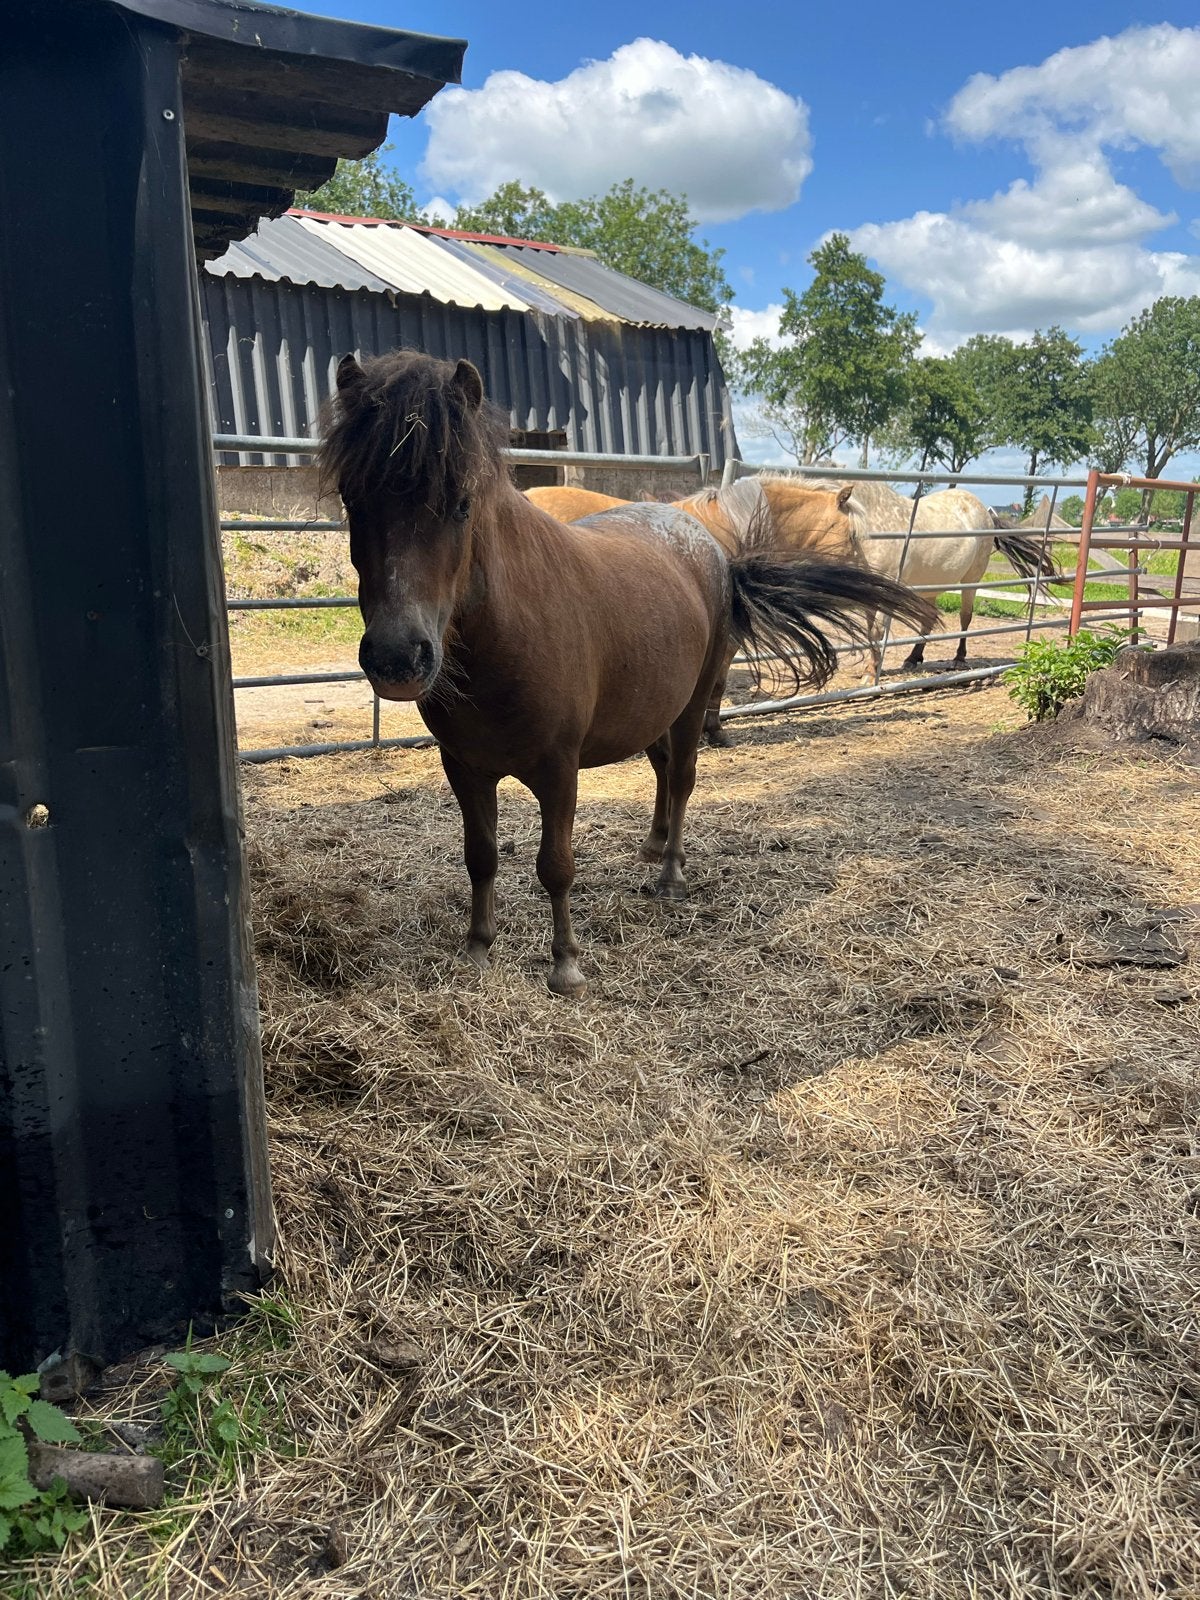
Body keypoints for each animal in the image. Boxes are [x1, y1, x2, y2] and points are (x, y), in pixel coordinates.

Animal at [320, 350, 934, 997]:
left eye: (461, 502)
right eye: (352, 501)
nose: (397, 659)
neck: (510, 630)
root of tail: (711, 548)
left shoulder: (558, 769)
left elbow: (555, 866)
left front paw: (566, 964)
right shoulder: (464, 767)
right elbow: (480, 856)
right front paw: (478, 948)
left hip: (691, 705)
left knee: (683, 778)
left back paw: (671, 877)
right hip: (653, 707)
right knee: (663, 770)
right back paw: (653, 846)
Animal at [755, 475, 1060, 675]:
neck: (869, 527)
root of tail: (986, 512)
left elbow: (877, 630)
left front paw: (871, 673)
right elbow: (871, 632)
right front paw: (871, 668)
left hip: (970, 581)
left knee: (965, 618)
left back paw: (959, 659)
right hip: (932, 584)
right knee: (929, 619)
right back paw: (914, 658)